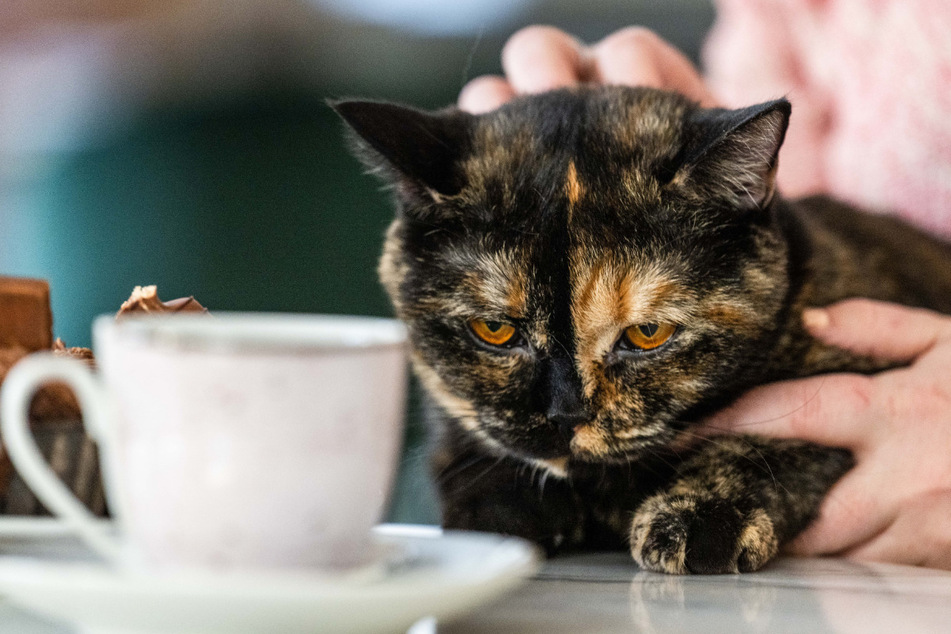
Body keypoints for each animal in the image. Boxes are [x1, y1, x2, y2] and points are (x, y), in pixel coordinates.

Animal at [332, 85, 951, 572]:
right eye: (494, 330)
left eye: (648, 334)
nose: (567, 414)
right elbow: (462, 440)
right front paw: (506, 510)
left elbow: (772, 439)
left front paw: (702, 517)